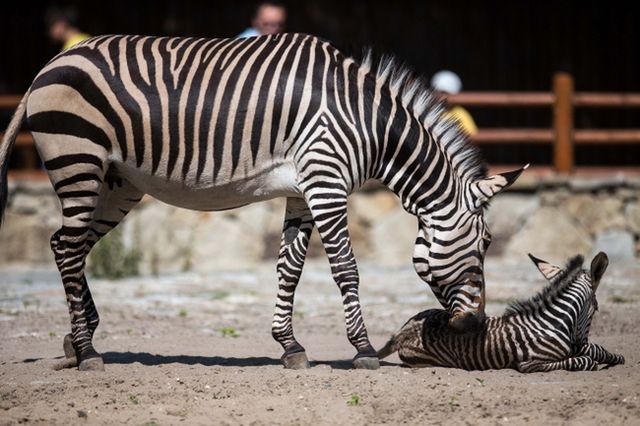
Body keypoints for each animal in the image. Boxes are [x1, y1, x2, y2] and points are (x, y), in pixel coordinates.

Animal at [0, 33, 524, 372]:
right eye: (487, 241)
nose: (476, 323)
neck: (368, 125)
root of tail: (48, 65)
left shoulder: (302, 190)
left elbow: (288, 269)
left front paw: (290, 347)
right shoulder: (326, 181)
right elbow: (345, 268)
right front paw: (363, 349)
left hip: (116, 182)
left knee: (64, 245)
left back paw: (78, 339)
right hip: (78, 160)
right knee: (69, 248)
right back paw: (88, 352)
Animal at [378, 253, 624, 372]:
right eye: (597, 308)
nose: (579, 341)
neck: (554, 323)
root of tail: (402, 332)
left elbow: (596, 349)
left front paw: (617, 358)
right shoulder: (530, 364)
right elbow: (584, 360)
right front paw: (595, 360)